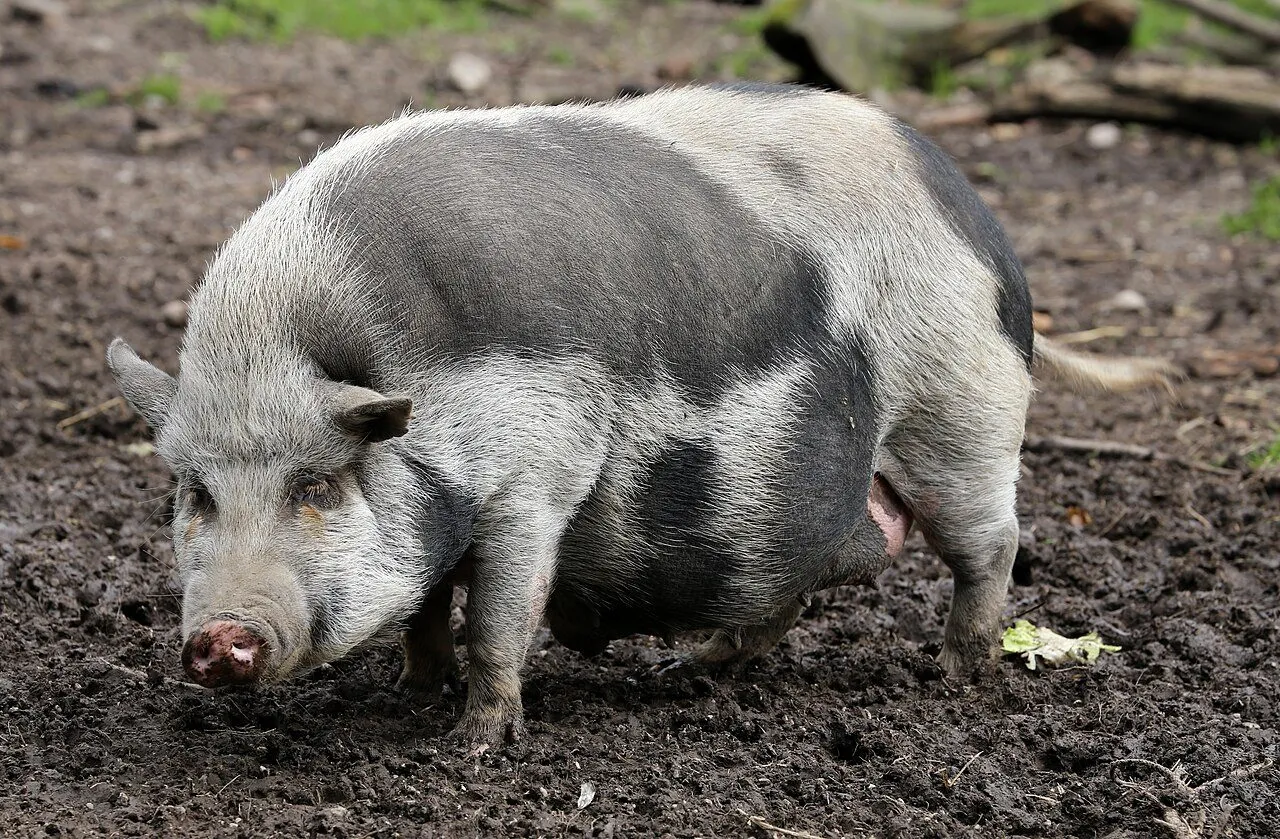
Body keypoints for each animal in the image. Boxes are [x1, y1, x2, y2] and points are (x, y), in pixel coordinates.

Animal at [108, 83, 1173, 744]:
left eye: (319, 486)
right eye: (195, 494)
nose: (219, 636)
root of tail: (988, 233)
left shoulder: (536, 473)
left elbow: (498, 613)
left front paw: (473, 743)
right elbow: (426, 602)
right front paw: (411, 692)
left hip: (958, 408)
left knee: (991, 546)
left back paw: (958, 676)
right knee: (793, 585)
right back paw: (687, 671)